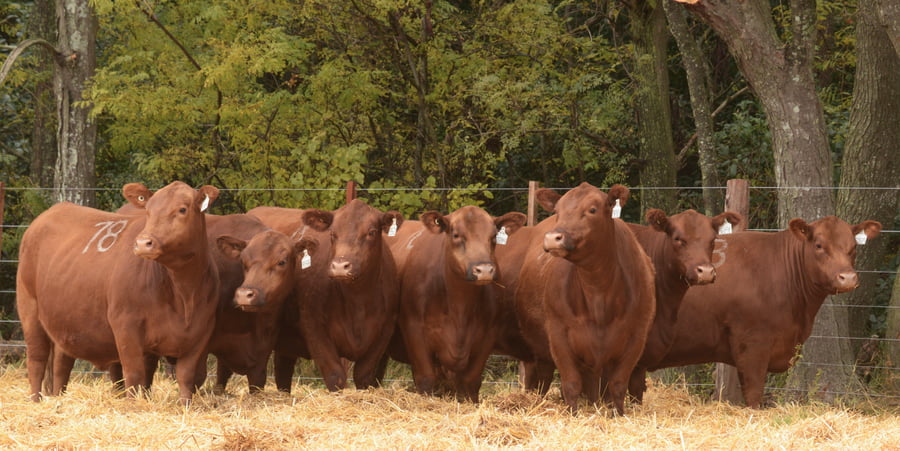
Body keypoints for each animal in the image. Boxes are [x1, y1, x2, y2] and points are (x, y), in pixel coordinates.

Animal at [16, 181, 220, 405]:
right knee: (37, 359)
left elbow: (185, 377)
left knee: (61, 365)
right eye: (148, 211)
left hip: (64, 320)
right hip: (29, 309)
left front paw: (184, 407)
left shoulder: (200, 333)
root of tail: (53, 210)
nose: (143, 243)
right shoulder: (125, 326)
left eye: (182, 209)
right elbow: (134, 374)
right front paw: (132, 405)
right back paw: (35, 401)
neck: (182, 294)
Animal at [248, 200, 403, 392]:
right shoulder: (315, 330)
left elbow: (363, 376)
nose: (340, 266)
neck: (358, 303)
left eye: (371, 232)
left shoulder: (384, 333)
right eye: (333, 233)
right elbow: (336, 376)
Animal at [384, 207, 526, 402]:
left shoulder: (487, 336)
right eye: (456, 234)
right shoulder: (414, 330)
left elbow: (471, 381)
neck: (459, 309)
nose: (484, 270)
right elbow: (425, 378)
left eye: (494, 236)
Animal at [514, 182, 656, 414]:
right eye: (558, 211)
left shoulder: (637, 337)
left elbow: (618, 384)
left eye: (592, 210)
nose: (553, 238)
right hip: (536, 349)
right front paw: (573, 414)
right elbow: (571, 383)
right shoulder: (558, 334)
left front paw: (618, 415)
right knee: (540, 379)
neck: (598, 293)